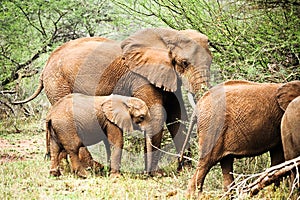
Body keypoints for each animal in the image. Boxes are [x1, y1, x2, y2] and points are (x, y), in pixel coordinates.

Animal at [13, 27, 211, 175]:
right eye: (184, 63)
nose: (182, 163)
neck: (168, 36)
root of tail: (45, 66)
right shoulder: (141, 76)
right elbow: (158, 114)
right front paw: (156, 174)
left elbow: (176, 116)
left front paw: (184, 169)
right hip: (58, 82)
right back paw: (92, 169)